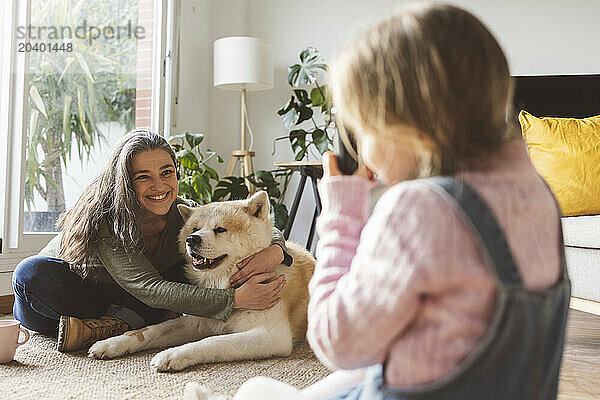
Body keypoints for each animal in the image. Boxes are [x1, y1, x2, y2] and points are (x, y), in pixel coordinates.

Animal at [89, 191, 316, 372]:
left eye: (220, 229)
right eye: (194, 229)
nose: (192, 239)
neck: (224, 284)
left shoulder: (270, 336)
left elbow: (212, 342)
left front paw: (172, 355)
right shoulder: (196, 321)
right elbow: (148, 331)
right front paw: (111, 343)